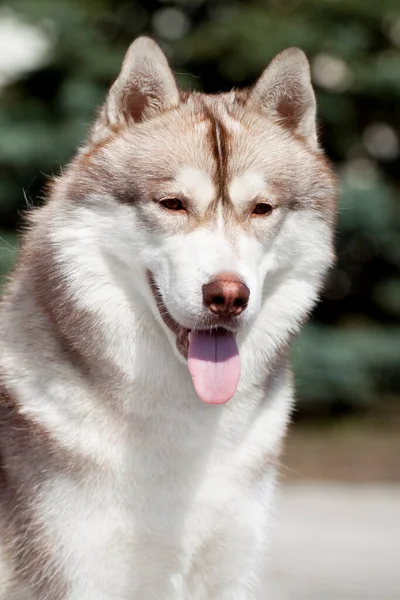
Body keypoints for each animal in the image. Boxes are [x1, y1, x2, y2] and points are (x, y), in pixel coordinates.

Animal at [0, 38, 338, 600]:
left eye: (262, 208)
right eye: (173, 204)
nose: (228, 296)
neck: (185, 424)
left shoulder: (228, 567)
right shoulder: (81, 570)